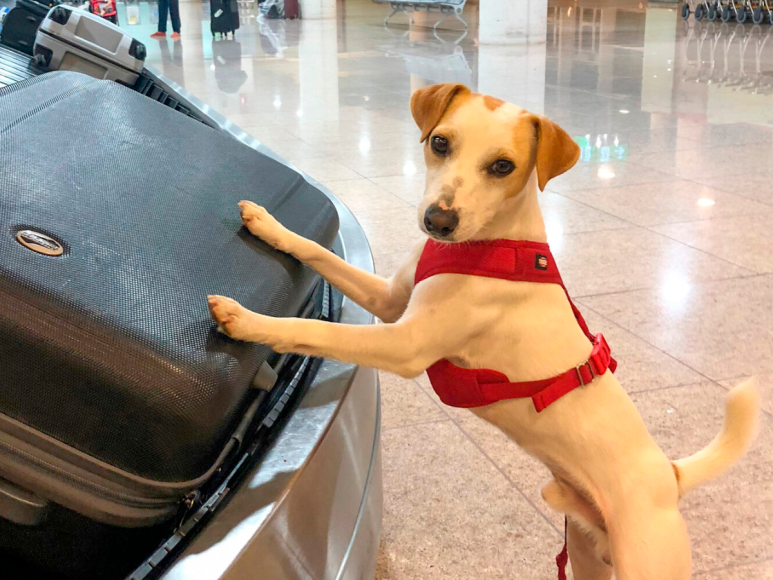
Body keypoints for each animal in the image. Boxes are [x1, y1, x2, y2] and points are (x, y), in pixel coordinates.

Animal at [207, 82, 760, 580]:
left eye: (502, 167)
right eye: (439, 143)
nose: (438, 220)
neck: (489, 245)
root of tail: (670, 474)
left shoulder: (405, 344)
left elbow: (311, 331)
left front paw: (249, 320)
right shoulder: (390, 302)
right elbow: (318, 252)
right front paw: (268, 225)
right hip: (587, 554)